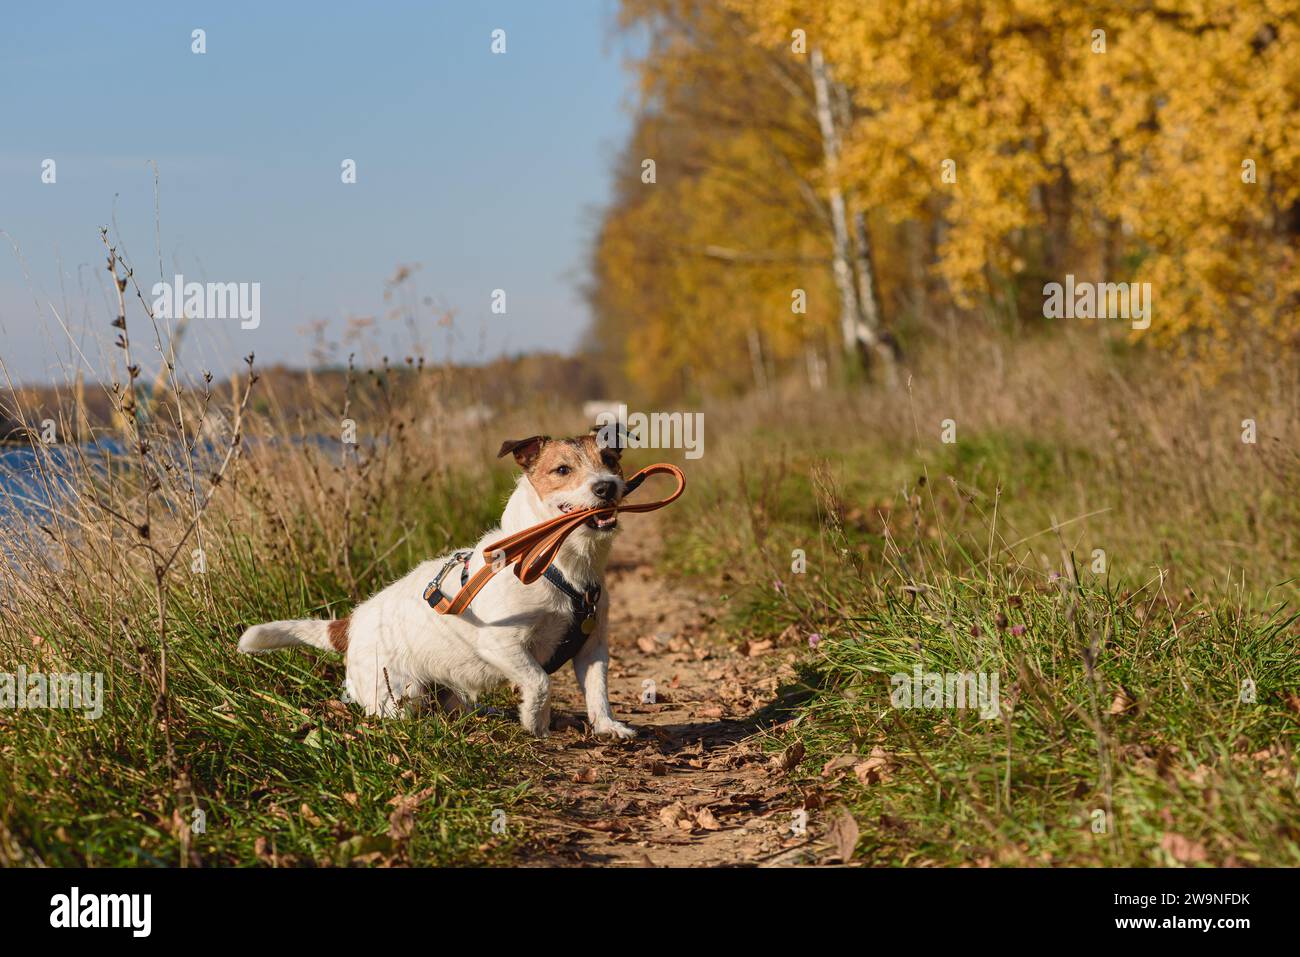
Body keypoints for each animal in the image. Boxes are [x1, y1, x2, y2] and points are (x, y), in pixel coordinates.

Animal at [237, 434, 639, 738]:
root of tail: (349, 625)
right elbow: (539, 681)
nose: (606, 487)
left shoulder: (591, 646)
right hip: (400, 693)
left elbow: (598, 690)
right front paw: (535, 721)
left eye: (609, 460)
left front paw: (607, 726)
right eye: (562, 470)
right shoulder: (502, 645)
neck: (556, 564)